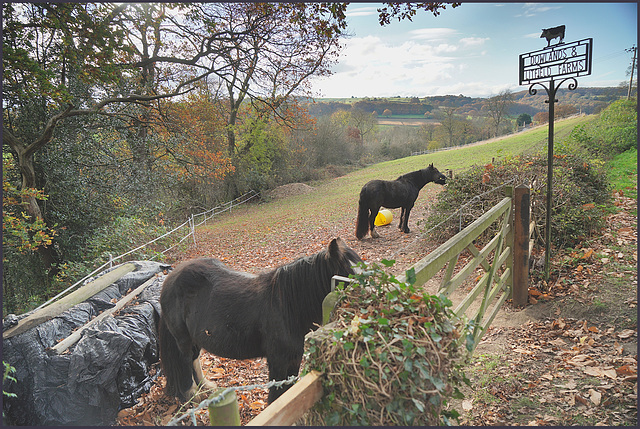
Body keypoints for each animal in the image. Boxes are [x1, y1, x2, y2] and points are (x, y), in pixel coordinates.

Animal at [158, 237, 362, 402]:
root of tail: (170, 279)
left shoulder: (294, 359)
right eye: (349, 273)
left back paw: (206, 386)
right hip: (182, 339)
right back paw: (192, 394)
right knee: (185, 361)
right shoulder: (278, 362)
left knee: (195, 359)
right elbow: (276, 397)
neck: (287, 306)